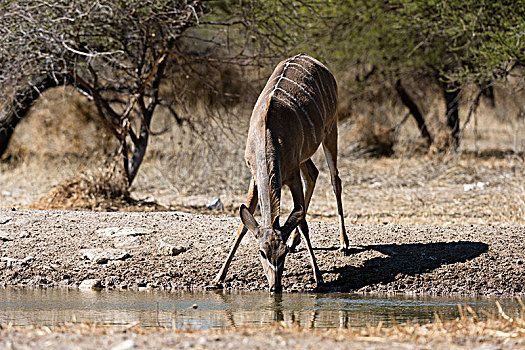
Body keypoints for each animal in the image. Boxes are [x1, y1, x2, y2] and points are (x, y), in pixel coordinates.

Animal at [213, 52, 348, 292]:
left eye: (282, 253)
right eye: (261, 252)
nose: (275, 286)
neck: (269, 137)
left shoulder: (292, 176)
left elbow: (303, 221)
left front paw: (319, 277)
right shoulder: (255, 178)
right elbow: (243, 225)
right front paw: (218, 277)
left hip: (331, 129)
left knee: (335, 179)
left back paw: (344, 243)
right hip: (305, 154)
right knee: (313, 174)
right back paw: (296, 241)